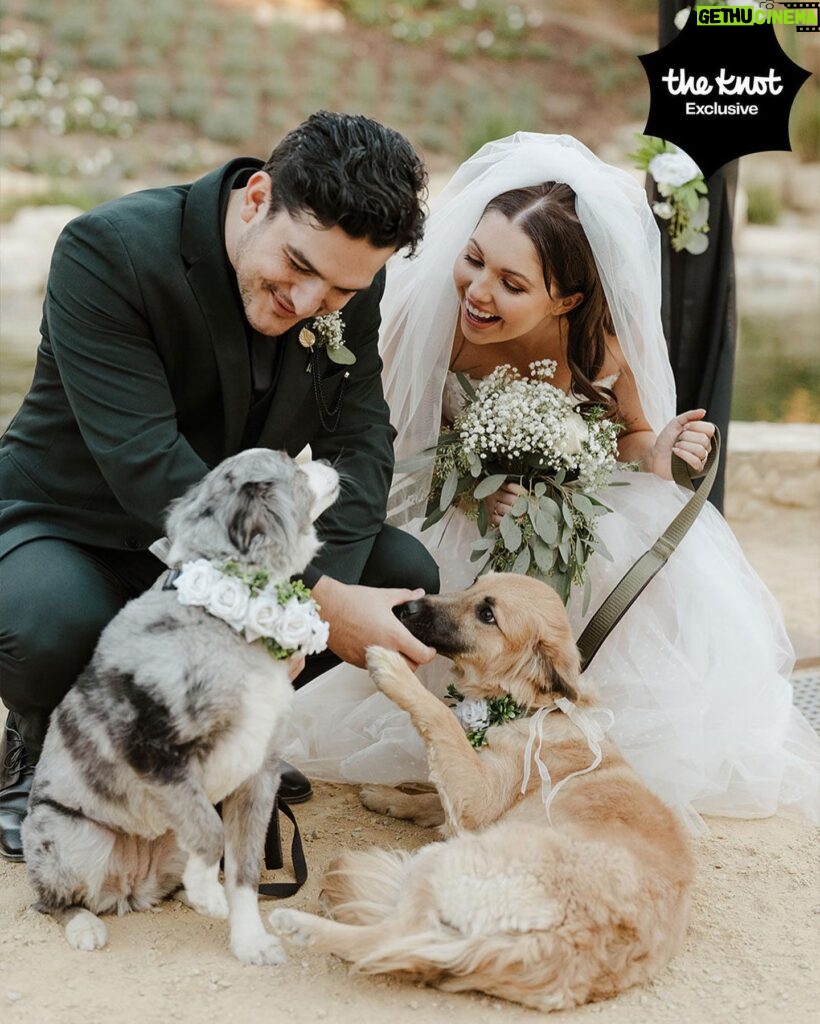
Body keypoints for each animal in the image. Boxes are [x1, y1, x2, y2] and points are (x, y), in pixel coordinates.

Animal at [268, 573, 692, 1011]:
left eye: (487, 614)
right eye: (474, 584)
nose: (403, 608)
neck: (534, 705)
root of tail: (565, 946)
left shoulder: (478, 800)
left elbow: (440, 721)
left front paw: (394, 671)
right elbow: (431, 795)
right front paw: (387, 797)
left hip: (442, 860)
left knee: (389, 938)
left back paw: (301, 926)